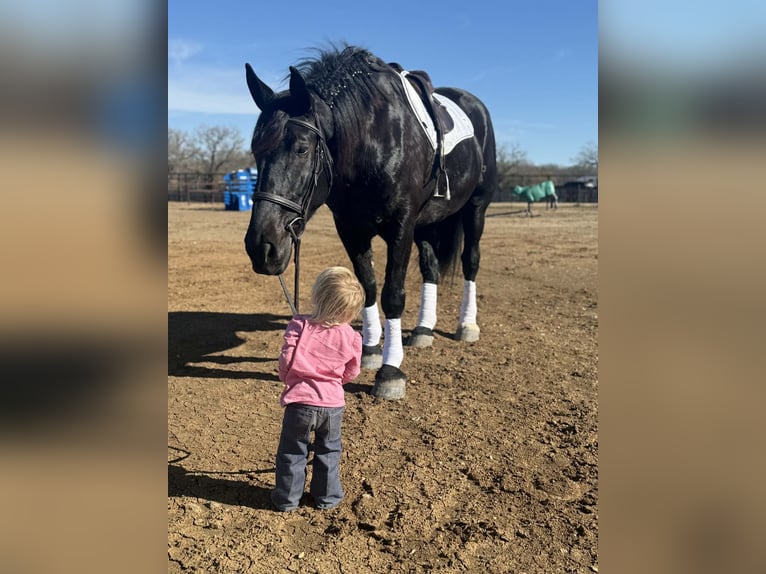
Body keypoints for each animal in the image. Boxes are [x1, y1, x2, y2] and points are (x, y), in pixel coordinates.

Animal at [243, 45, 497, 400]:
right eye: (255, 151)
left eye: (302, 149)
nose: (260, 247)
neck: (372, 139)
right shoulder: (350, 228)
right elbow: (368, 286)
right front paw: (371, 350)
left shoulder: (401, 225)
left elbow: (392, 294)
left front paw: (390, 371)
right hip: (427, 223)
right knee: (431, 268)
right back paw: (423, 329)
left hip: (476, 207)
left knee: (471, 261)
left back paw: (466, 325)